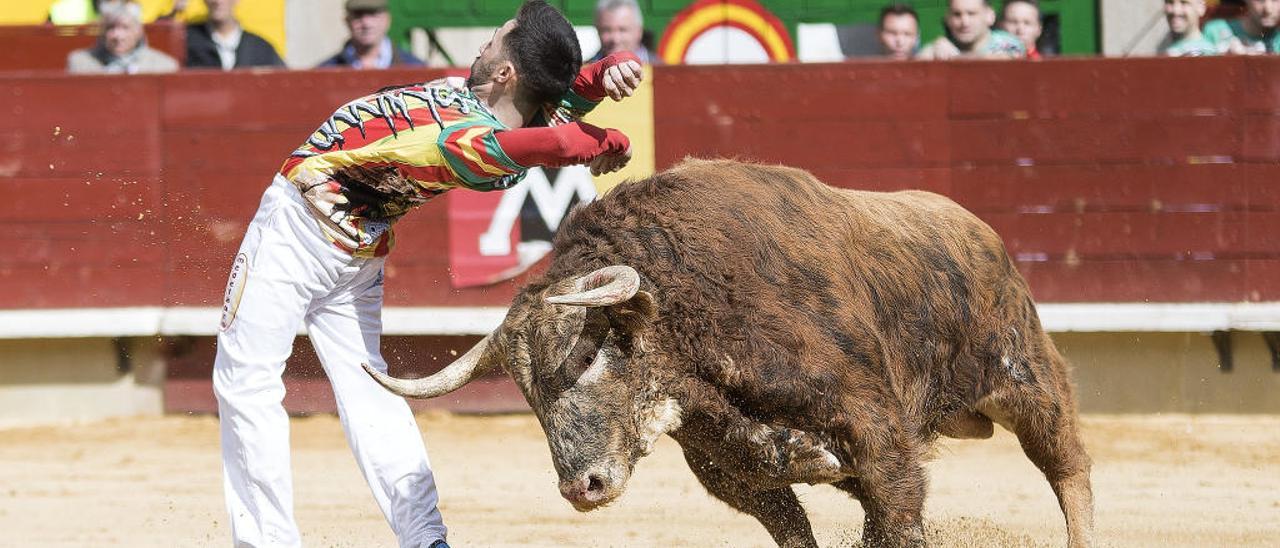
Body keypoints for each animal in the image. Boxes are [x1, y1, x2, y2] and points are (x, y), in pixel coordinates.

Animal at [366, 159, 1095, 548]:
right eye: (528, 394)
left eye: (593, 355)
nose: (582, 487)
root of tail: (978, 229)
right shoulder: (732, 477)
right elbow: (789, 504)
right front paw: (801, 453)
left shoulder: (878, 432)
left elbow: (897, 513)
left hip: (1027, 375)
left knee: (1068, 468)